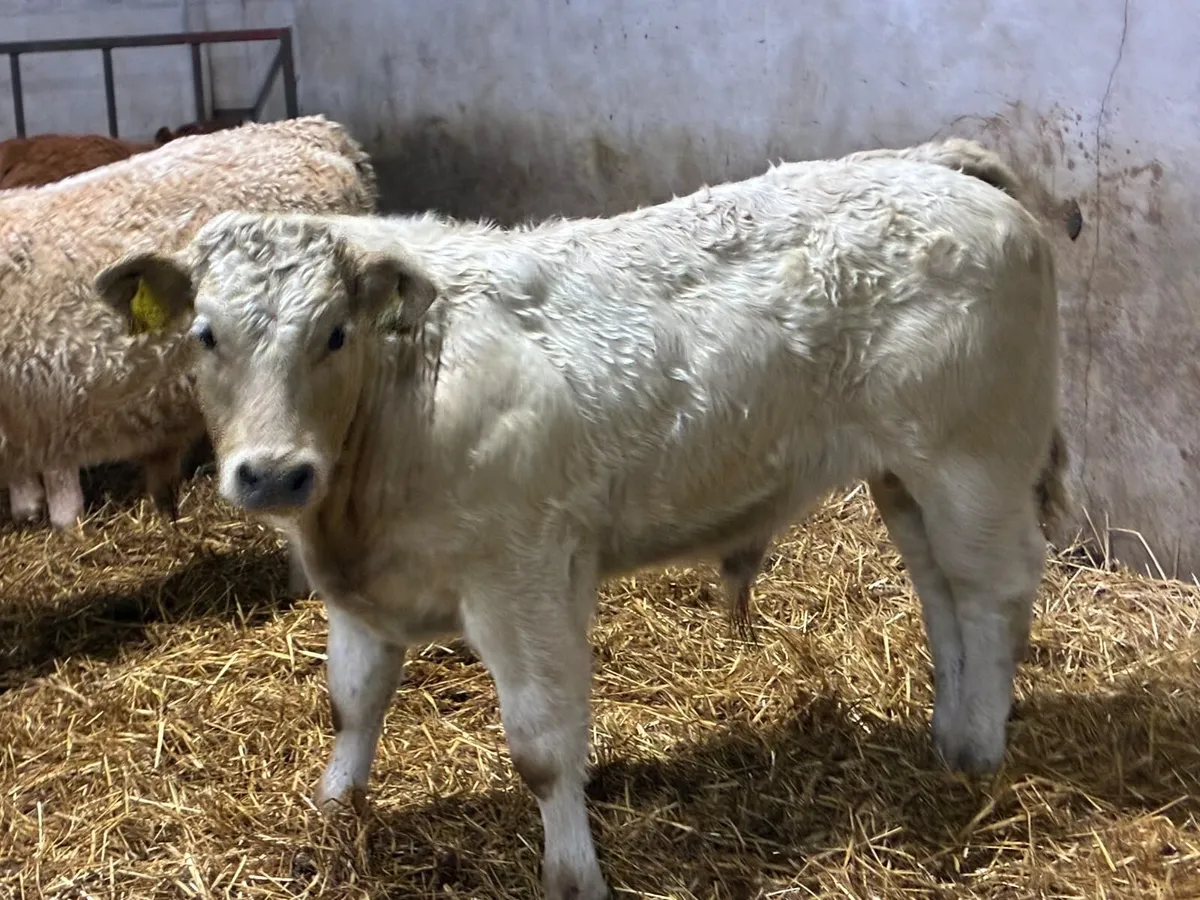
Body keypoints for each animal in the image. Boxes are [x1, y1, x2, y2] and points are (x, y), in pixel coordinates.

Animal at [95, 137, 1066, 900]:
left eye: (334, 333)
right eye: (207, 335)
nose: (273, 473)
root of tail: (934, 165)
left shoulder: (520, 571)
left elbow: (541, 744)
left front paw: (573, 874)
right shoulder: (363, 588)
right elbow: (352, 702)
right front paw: (335, 810)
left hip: (971, 459)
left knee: (995, 589)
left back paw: (979, 753)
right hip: (904, 476)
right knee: (941, 589)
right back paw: (947, 735)